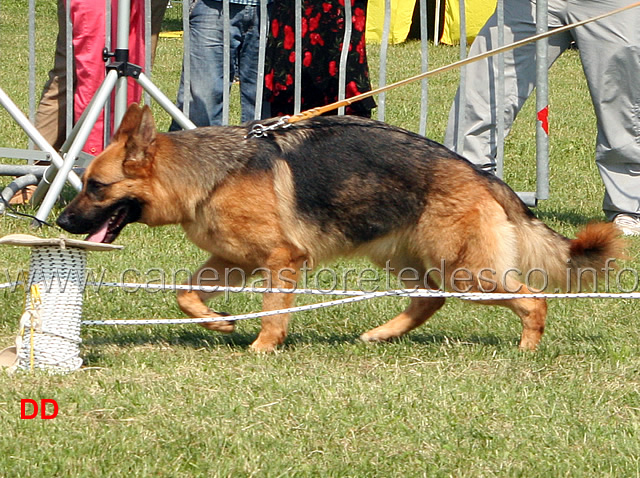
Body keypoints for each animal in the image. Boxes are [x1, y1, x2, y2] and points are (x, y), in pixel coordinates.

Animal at [57, 104, 624, 352]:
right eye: (82, 184)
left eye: (96, 187)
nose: (59, 221)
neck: (209, 175)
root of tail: (480, 174)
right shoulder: (233, 260)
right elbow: (184, 294)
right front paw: (219, 323)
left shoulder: (280, 261)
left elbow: (272, 312)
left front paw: (263, 349)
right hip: (403, 259)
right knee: (430, 298)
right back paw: (382, 333)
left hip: (468, 272)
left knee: (533, 299)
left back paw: (527, 350)